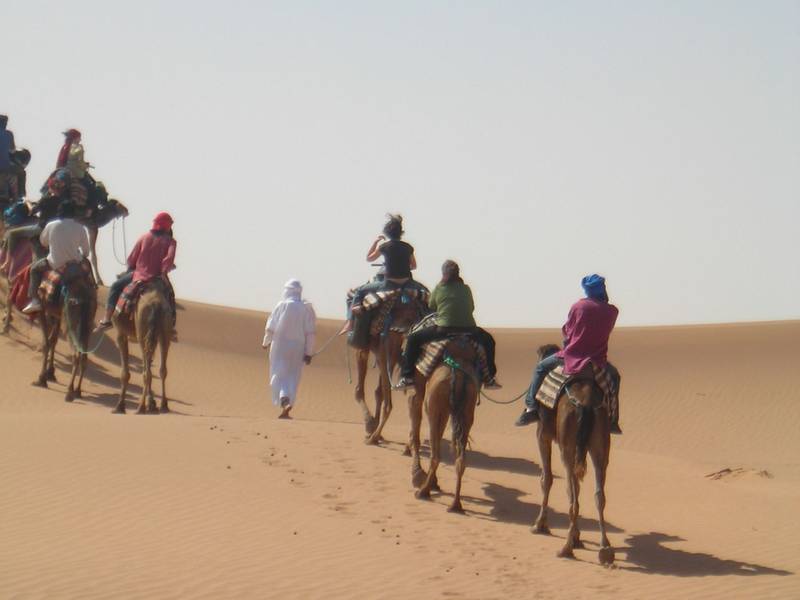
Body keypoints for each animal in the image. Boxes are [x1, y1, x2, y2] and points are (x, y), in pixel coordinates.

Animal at [32, 258, 97, 404]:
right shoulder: (57, 315)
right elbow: (53, 341)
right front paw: (50, 373)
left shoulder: (43, 309)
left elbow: (46, 343)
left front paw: (41, 379)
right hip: (87, 325)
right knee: (84, 355)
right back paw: (77, 391)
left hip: (70, 323)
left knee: (76, 355)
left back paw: (69, 393)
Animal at [111, 278, 172, 414]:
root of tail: (155, 304)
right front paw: (152, 404)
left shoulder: (120, 334)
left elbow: (125, 373)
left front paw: (119, 406)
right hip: (163, 332)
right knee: (161, 370)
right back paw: (163, 405)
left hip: (141, 332)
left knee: (146, 372)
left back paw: (141, 407)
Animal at [354, 296, 428, 446]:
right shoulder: (385, 354)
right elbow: (379, 392)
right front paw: (374, 426)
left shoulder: (363, 349)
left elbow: (359, 391)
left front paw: (369, 425)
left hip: (388, 347)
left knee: (391, 403)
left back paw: (373, 437)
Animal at [410, 340, 478, 512]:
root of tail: (458, 374)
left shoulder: (418, 390)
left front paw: (418, 477)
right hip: (467, 410)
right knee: (460, 458)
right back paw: (456, 505)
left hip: (436, 405)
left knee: (436, 455)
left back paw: (423, 492)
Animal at [528, 344, 616, 564]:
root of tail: (586, 403)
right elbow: (577, 484)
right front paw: (578, 537)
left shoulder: (542, 434)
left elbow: (547, 479)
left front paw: (539, 524)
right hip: (600, 444)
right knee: (598, 493)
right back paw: (605, 549)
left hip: (566, 446)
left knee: (571, 493)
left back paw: (566, 548)